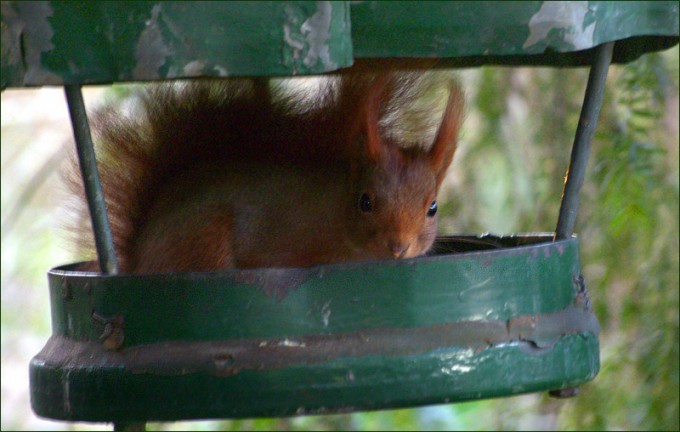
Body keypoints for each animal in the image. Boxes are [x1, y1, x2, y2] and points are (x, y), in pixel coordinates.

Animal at [71, 68, 463, 273]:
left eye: (432, 208)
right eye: (365, 202)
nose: (399, 246)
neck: (336, 211)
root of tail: (138, 259)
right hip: (202, 239)